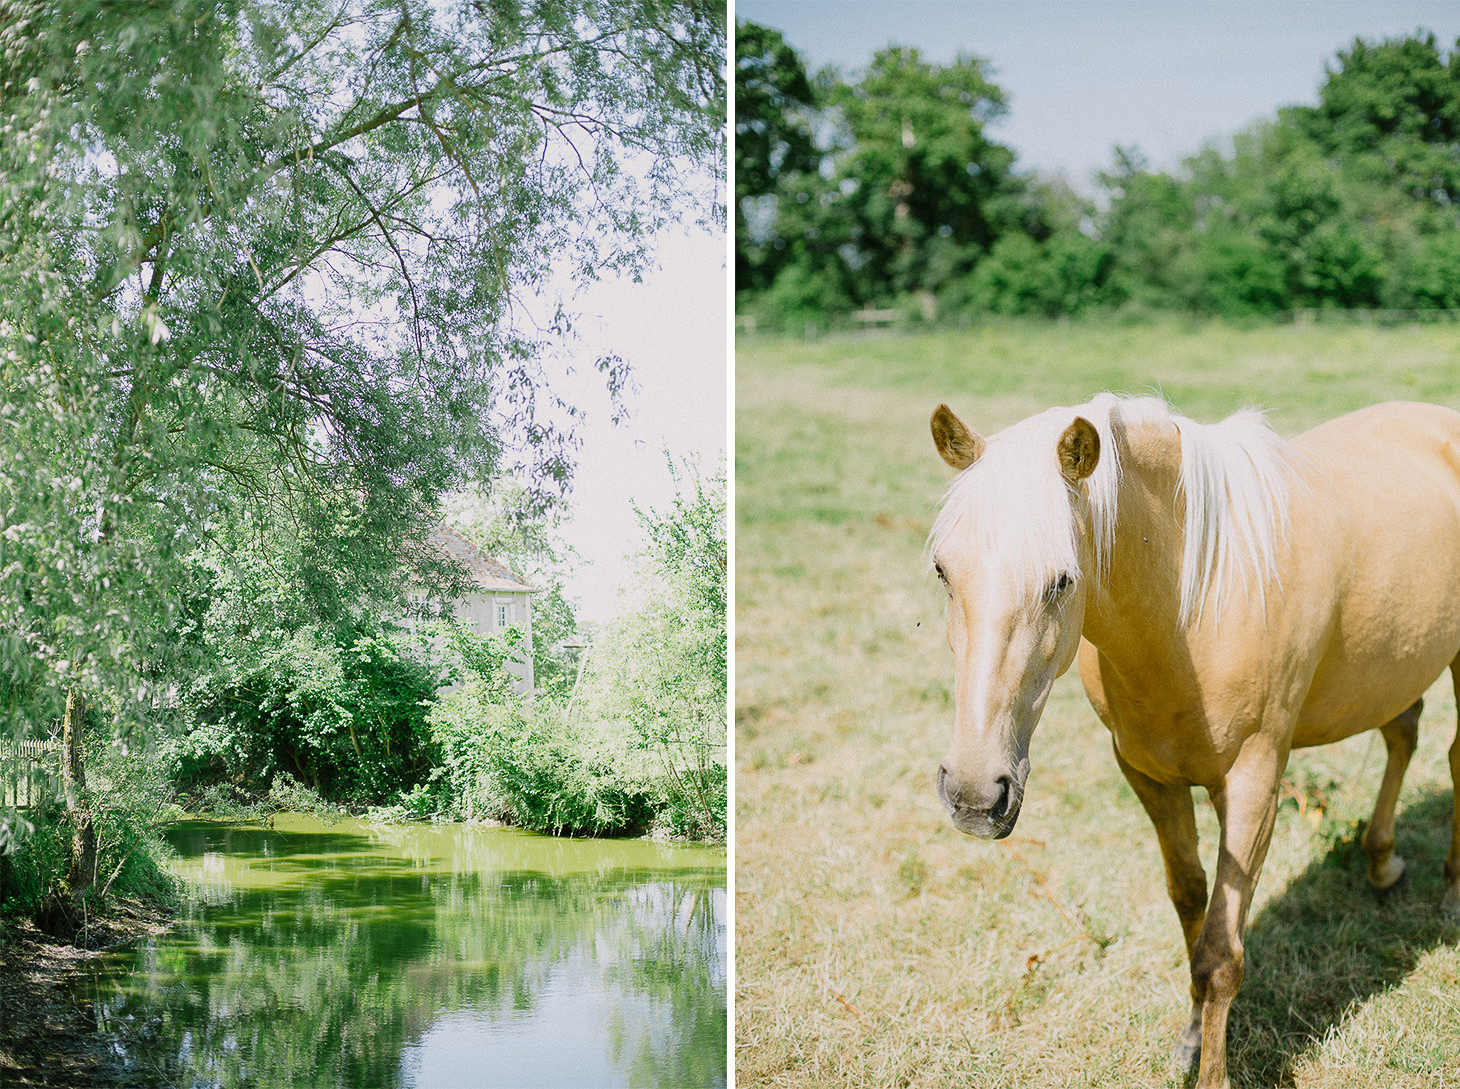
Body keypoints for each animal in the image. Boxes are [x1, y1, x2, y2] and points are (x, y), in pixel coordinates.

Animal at [928, 394, 1460, 1086]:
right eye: (944, 570)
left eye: (1063, 580)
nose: (973, 794)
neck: (1196, 600)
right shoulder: (1148, 775)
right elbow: (1189, 904)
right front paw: (1187, 1039)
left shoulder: (1255, 783)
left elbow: (1221, 953)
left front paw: (1212, 1071)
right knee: (1402, 731)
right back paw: (1382, 864)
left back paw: (1450, 891)